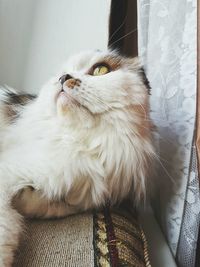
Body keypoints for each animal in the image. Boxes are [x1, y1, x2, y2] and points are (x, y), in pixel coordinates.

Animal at [0, 49, 154, 266]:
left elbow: (50, 205)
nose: (63, 77)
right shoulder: (7, 172)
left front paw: (27, 198)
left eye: (100, 70)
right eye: (60, 74)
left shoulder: (82, 196)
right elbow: (6, 225)